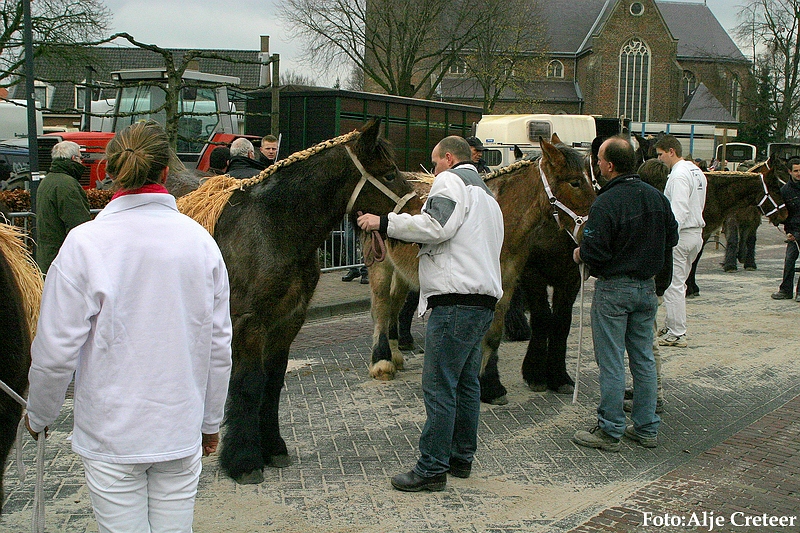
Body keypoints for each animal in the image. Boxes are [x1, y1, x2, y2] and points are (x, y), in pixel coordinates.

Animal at [191, 119, 416, 482]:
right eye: (390, 172)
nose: (417, 211)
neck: (276, 229)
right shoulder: (250, 325)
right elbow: (250, 385)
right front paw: (244, 459)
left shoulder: (287, 322)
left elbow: (272, 384)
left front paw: (272, 447)